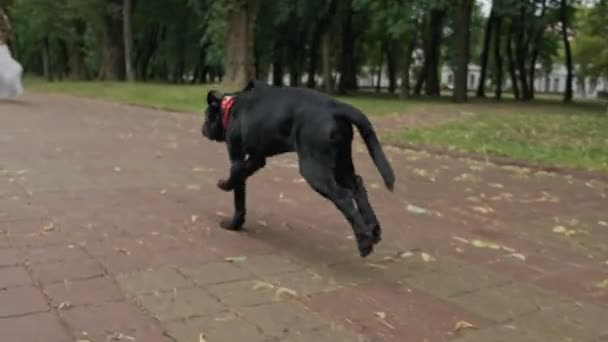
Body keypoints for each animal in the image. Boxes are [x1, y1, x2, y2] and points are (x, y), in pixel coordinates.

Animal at [202, 80, 396, 256]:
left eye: (206, 116)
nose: (202, 128)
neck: (231, 106)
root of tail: (335, 106)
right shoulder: (257, 158)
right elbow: (244, 174)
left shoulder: (236, 157)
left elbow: (238, 191)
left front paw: (232, 220)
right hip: (341, 163)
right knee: (357, 185)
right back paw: (373, 228)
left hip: (314, 169)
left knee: (343, 196)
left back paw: (364, 242)